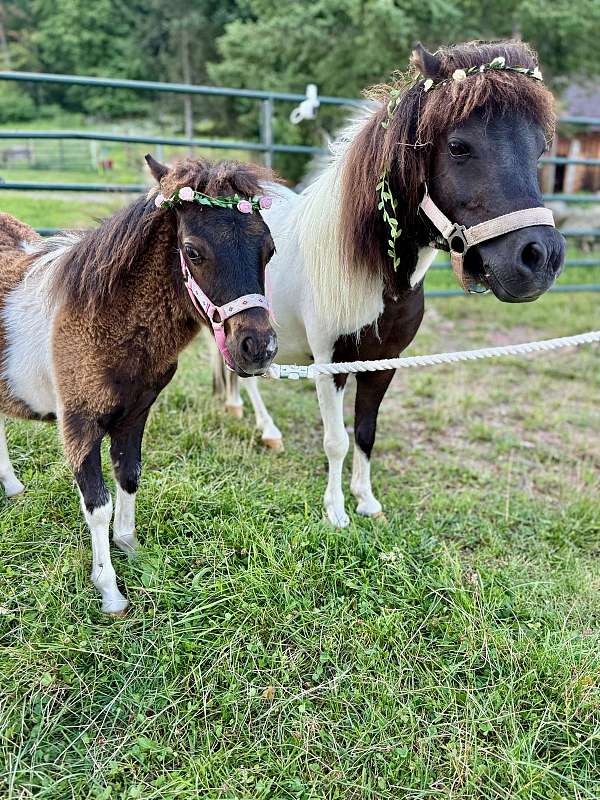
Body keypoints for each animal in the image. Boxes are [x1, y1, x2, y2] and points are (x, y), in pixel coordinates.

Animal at [0, 155, 277, 613]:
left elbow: (129, 477)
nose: (258, 347)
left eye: (269, 250)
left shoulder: (136, 414)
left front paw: (131, 549)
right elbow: (97, 505)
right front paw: (110, 591)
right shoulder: (78, 425)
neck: (101, 319)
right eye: (192, 251)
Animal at [214, 40, 565, 527]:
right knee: (243, 375)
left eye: (540, 150)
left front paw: (366, 501)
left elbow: (365, 433)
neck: (369, 274)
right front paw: (336, 512)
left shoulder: (384, 362)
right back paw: (266, 429)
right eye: (458, 146)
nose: (540, 258)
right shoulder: (331, 364)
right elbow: (336, 440)